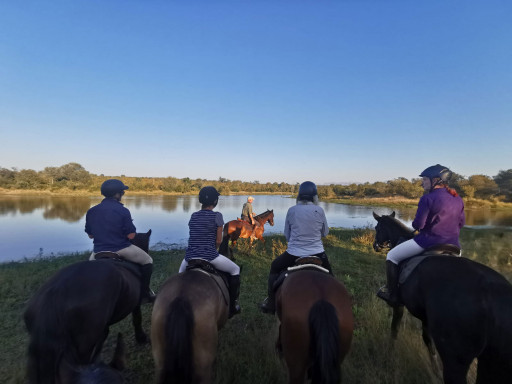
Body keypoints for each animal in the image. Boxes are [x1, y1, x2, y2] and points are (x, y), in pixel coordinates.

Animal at [372, 213, 512, 384]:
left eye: (377, 228)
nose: (375, 246)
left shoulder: (399, 305)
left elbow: (395, 329)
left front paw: (389, 352)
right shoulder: (426, 318)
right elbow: (428, 341)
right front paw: (435, 371)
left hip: (455, 360)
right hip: (492, 363)